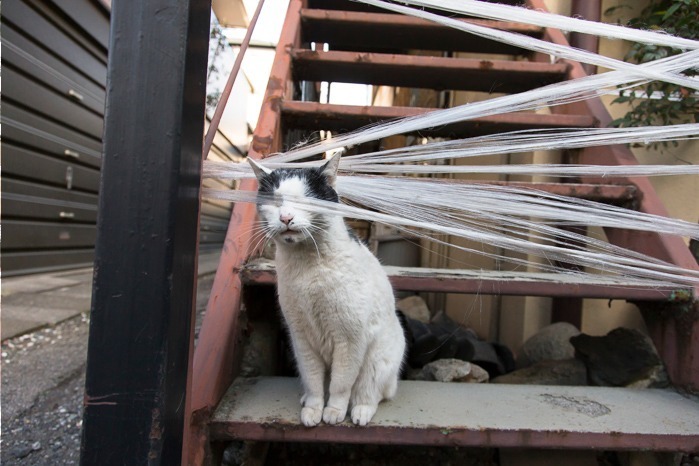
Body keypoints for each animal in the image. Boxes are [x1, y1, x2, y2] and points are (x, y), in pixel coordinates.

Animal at [250, 156, 404, 426]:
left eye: (305, 199)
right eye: (276, 201)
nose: (286, 217)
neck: (307, 267)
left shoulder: (349, 340)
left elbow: (341, 384)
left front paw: (333, 411)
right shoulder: (301, 339)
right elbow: (313, 381)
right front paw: (313, 409)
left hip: (377, 362)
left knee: (370, 392)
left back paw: (360, 411)